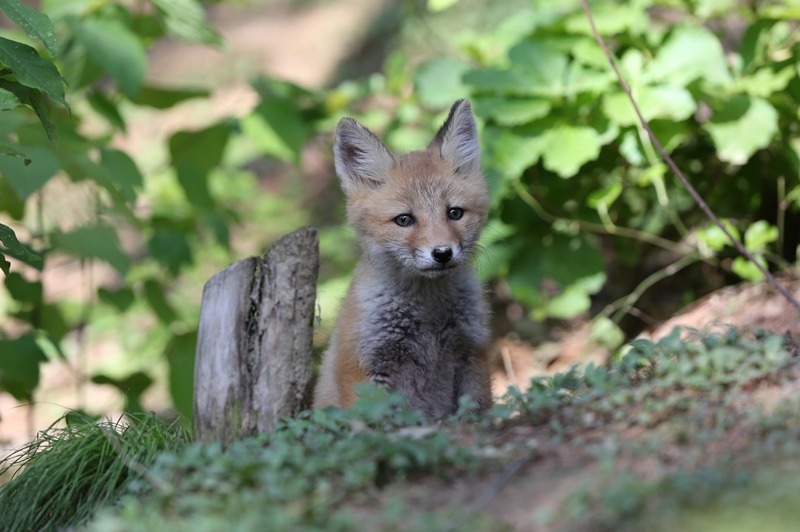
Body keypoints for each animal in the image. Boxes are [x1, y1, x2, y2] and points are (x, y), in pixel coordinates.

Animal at [313, 99, 493, 418]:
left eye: (455, 213)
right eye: (404, 220)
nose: (442, 253)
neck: (428, 314)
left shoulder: (473, 349)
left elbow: (476, 409)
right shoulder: (362, 365)